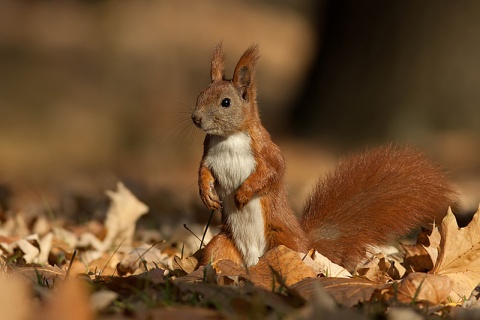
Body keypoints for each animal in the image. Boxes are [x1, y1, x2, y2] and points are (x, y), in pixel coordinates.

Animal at [190, 43, 454, 272]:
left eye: (226, 102)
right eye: (200, 94)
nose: (196, 118)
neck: (229, 138)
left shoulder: (265, 150)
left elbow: (272, 172)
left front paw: (243, 193)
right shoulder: (208, 153)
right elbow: (203, 171)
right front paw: (206, 194)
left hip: (284, 244)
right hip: (225, 242)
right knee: (215, 255)